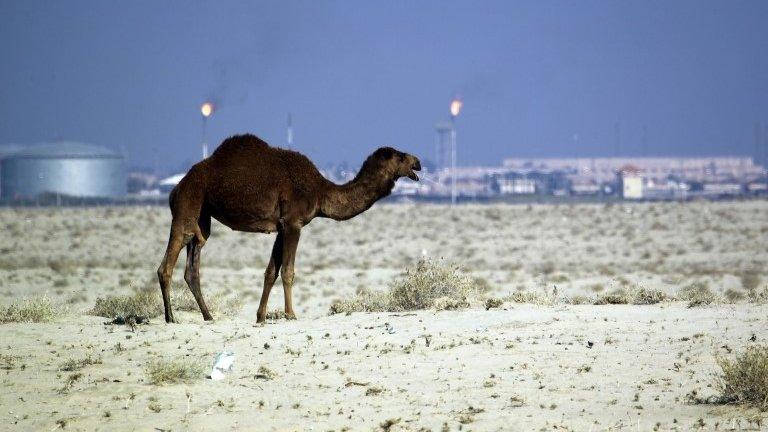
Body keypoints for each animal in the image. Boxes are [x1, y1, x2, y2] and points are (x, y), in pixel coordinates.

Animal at [156, 133, 420, 322]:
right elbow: (288, 271)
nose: (417, 162)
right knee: (168, 263)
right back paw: (171, 318)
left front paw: (261, 317)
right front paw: (291, 314)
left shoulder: (281, 227)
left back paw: (208, 316)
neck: (320, 191)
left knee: (193, 262)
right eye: (399, 156)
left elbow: (271, 271)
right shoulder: (294, 223)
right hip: (188, 205)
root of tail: (175, 189)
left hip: (203, 216)